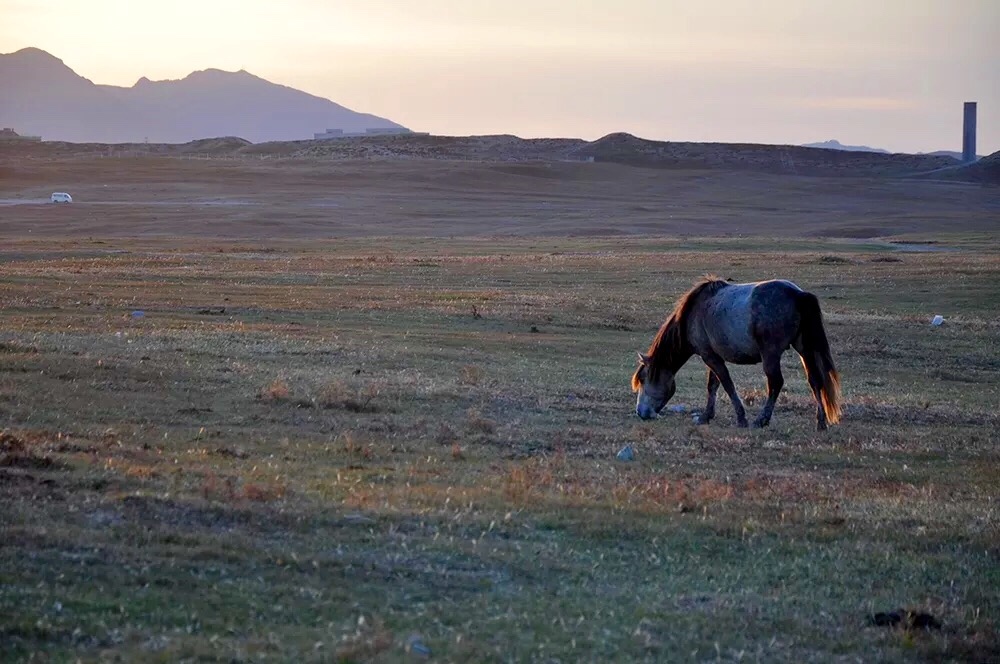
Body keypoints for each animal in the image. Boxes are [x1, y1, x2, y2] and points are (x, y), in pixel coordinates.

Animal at [631, 276, 842, 431]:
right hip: (804, 349)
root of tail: (798, 294)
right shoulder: (713, 356)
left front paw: (741, 418)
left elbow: (727, 384)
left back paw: (761, 420)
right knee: (815, 381)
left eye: (642, 379)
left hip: (771, 354)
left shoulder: (710, 356)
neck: (693, 314)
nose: (640, 413)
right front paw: (706, 416)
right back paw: (821, 422)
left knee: (775, 383)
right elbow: (713, 385)